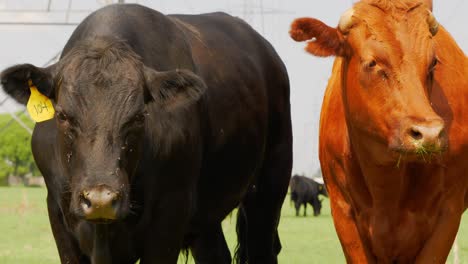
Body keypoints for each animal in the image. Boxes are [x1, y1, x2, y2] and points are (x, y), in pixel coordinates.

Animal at [0, 4, 292, 264]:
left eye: (139, 116)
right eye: (62, 116)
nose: (100, 199)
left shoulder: (171, 213)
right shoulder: (58, 215)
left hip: (269, 188)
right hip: (207, 217)